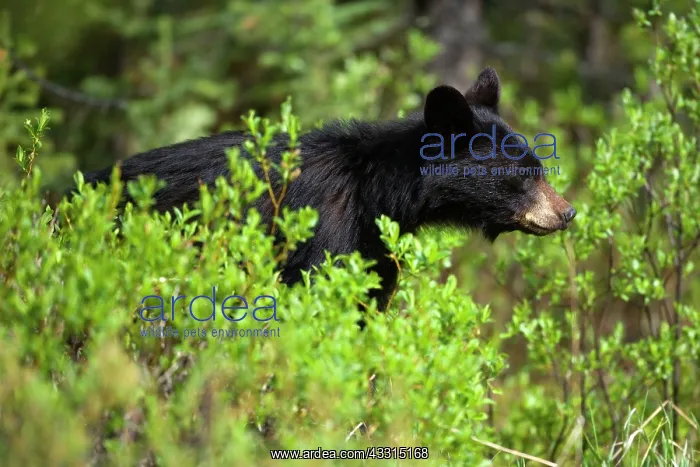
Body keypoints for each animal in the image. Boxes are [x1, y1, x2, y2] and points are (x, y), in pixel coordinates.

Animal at [76, 67, 576, 310]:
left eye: (540, 166)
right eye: (524, 174)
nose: (568, 212)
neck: (376, 194)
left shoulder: (374, 250)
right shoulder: (324, 229)